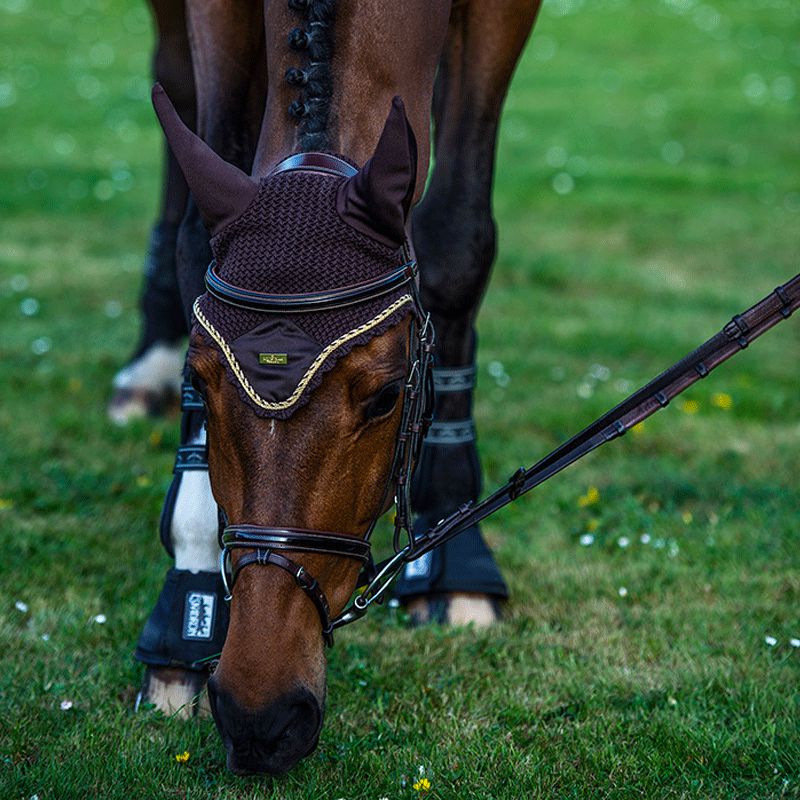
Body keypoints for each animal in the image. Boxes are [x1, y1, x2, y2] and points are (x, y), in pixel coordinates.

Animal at [133, 0, 544, 776]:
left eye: (386, 397)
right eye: (200, 377)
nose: (260, 715)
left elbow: (455, 241)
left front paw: (455, 554)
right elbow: (197, 246)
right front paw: (187, 596)